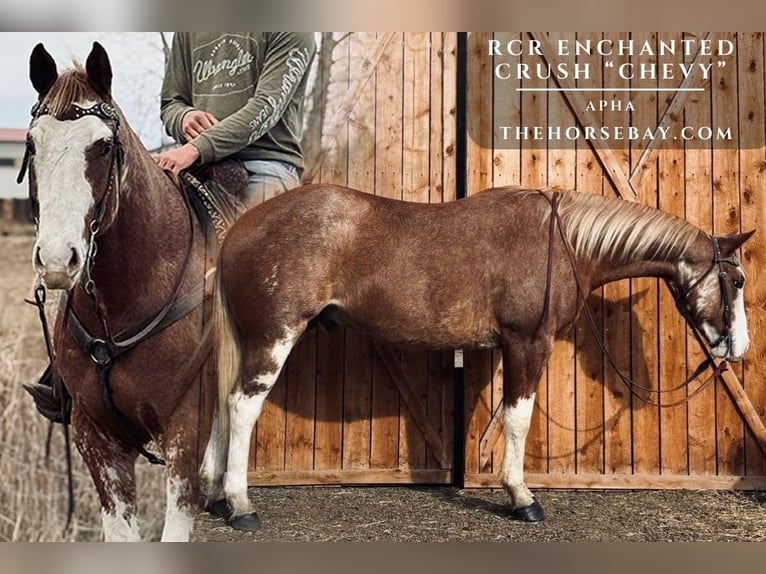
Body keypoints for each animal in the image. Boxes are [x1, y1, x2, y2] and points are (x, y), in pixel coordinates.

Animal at [204, 183, 753, 529]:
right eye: (737, 281)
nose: (738, 348)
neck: (562, 244)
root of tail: (239, 231)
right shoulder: (527, 344)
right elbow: (518, 418)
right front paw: (522, 498)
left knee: (220, 403)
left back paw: (213, 494)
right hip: (273, 338)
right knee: (241, 407)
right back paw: (241, 504)